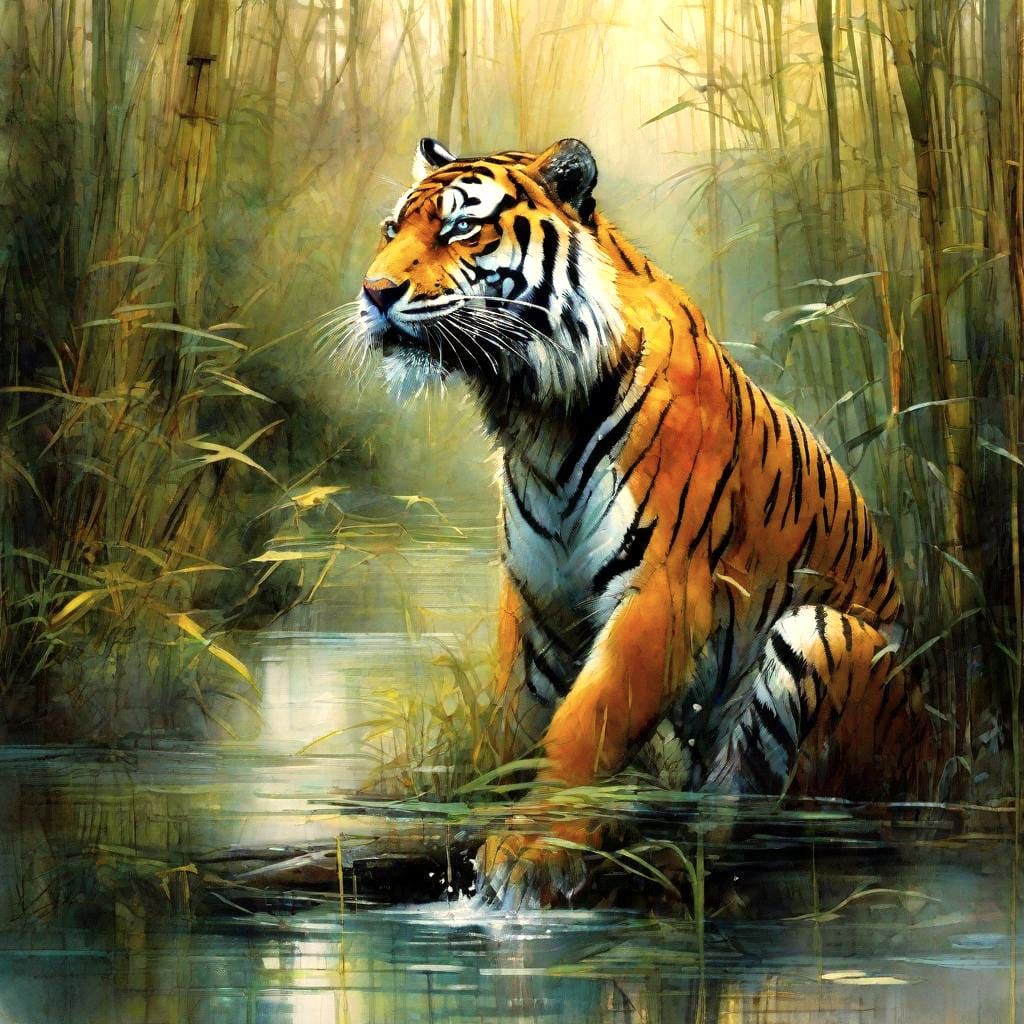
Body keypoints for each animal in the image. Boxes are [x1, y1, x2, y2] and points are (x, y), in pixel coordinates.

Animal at [352, 136, 928, 910]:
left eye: (460, 228)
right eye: (392, 230)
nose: (374, 293)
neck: (536, 410)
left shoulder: (663, 589)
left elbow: (587, 724)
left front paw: (533, 852)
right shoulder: (537, 597)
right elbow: (518, 718)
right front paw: (486, 819)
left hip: (821, 637)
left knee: (773, 821)